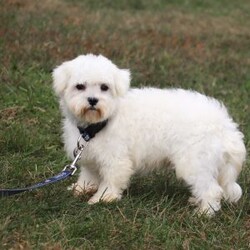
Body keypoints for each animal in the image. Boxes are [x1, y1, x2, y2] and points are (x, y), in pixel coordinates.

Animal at [52, 53, 246, 216]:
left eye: (104, 87)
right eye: (80, 86)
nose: (93, 100)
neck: (102, 121)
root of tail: (225, 124)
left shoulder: (116, 159)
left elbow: (111, 181)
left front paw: (102, 198)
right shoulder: (90, 156)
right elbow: (89, 175)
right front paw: (81, 189)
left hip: (195, 161)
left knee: (211, 189)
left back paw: (204, 212)